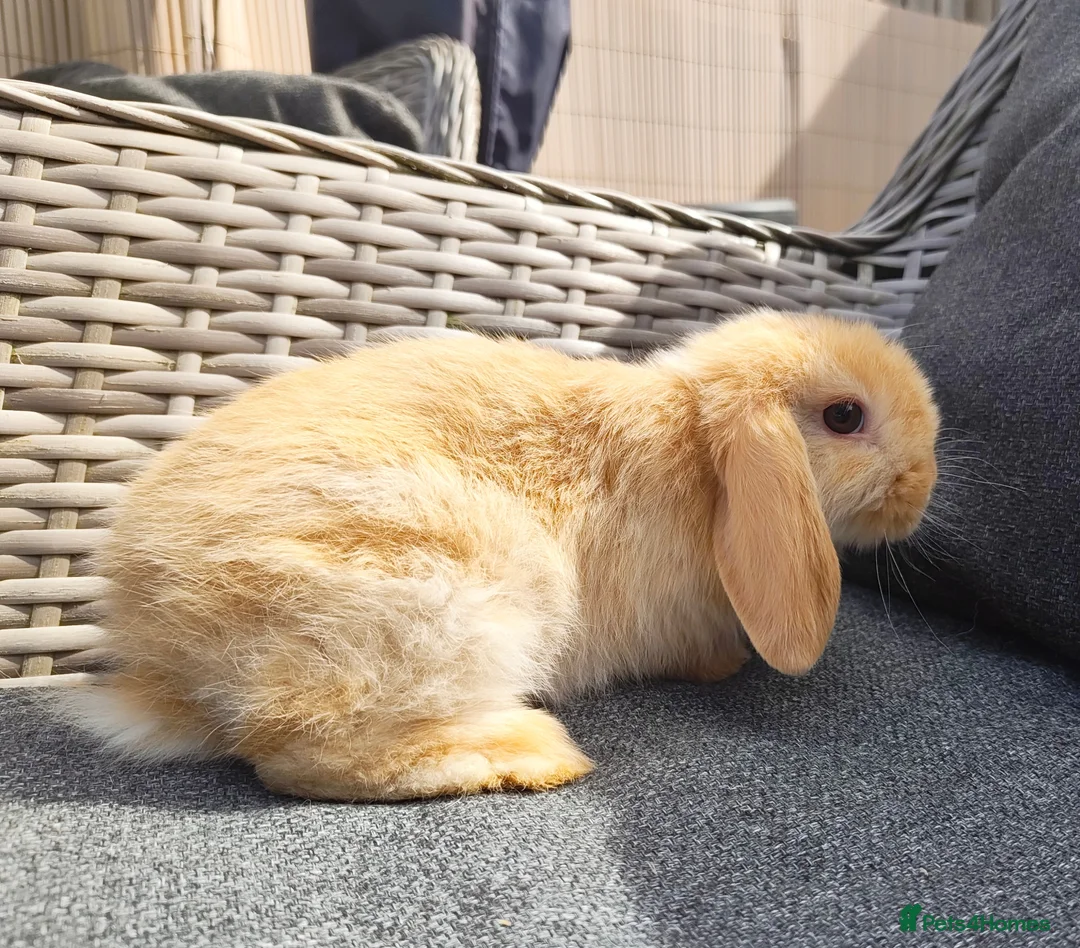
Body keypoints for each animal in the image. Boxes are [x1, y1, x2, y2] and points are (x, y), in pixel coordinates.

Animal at [71, 310, 939, 801]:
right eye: (845, 416)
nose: (922, 485)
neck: (700, 455)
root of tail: (166, 659)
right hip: (449, 599)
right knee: (300, 758)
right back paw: (534, 755)